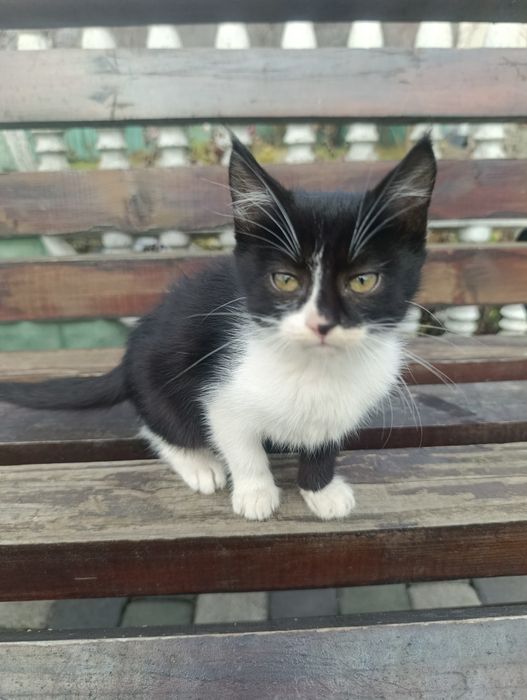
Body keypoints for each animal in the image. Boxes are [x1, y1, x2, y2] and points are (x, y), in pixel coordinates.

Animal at [0, 135, 436, 521]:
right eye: (285, 280)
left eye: (363, 281)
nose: (321, 323)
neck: (316, 369)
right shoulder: (221, 391)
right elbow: (241, 445)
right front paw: (256, 493)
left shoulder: (344, 406)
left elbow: (324, 442)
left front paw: (321, 489)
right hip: (155, 371)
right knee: (159, 422)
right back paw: (197, 462)